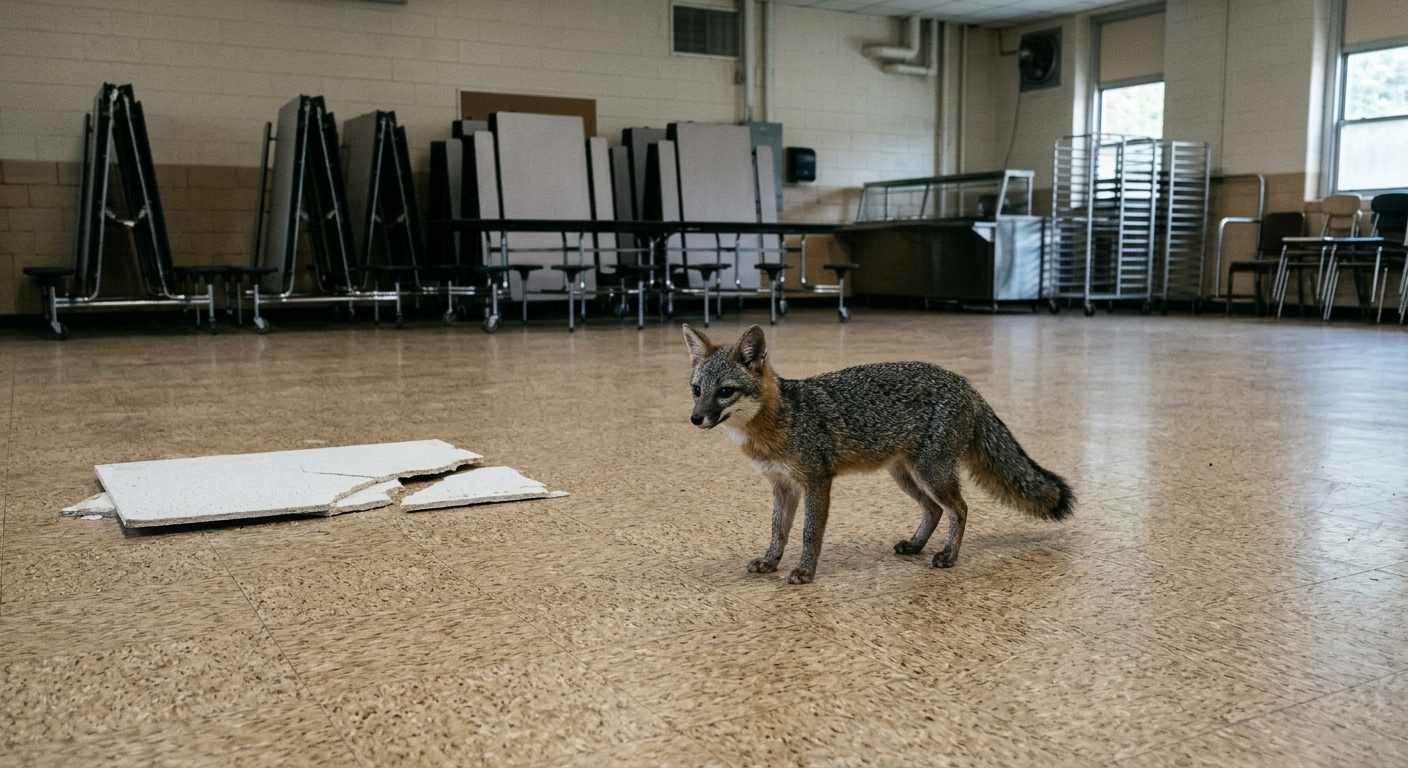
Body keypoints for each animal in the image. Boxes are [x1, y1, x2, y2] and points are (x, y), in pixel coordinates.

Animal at [684, 323, 1073, 585]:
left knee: (960, 509)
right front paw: (770, 562)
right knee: (934, 510)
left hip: (932, 474)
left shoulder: (817, 481)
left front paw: (805, 570)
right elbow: (778, 530)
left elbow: (810, 533)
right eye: (697, 390)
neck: (783, 418)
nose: (695, 418)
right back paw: (916, 545)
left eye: (725, 391)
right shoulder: (782, 486)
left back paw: (949, 555)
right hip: (906, 476)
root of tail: (967, 385)